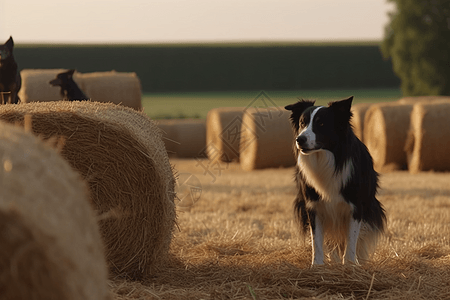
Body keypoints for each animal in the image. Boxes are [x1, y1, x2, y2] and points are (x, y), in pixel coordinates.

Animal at [284, 96, 386, 264]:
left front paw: (350, 264)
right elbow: (317, 241)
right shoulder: (314, 206)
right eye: (302, 123)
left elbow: (352, 239)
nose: (300, 139)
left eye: (321, 124)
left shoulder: (356, 206)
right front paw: (317, 265)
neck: (326, 159)